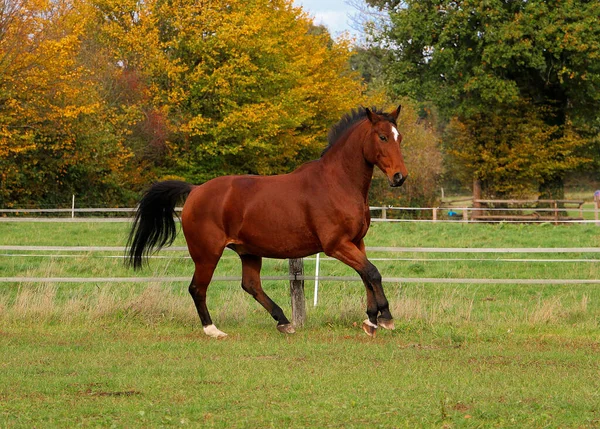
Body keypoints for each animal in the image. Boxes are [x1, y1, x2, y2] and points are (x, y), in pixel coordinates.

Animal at [126, 104, 408, 338]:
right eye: (382, 137)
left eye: (399, 137)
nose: (400, 177)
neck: (337, 183)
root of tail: (195, 190)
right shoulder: (337, 245)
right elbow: (372, 272)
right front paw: (385, 317)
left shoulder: (357, 242)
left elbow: (367, 275)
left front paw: (371, 321)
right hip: (207, 254)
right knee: (198, 288)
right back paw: (213, 330)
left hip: (248, 251)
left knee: (250, 285)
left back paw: (284, 321)